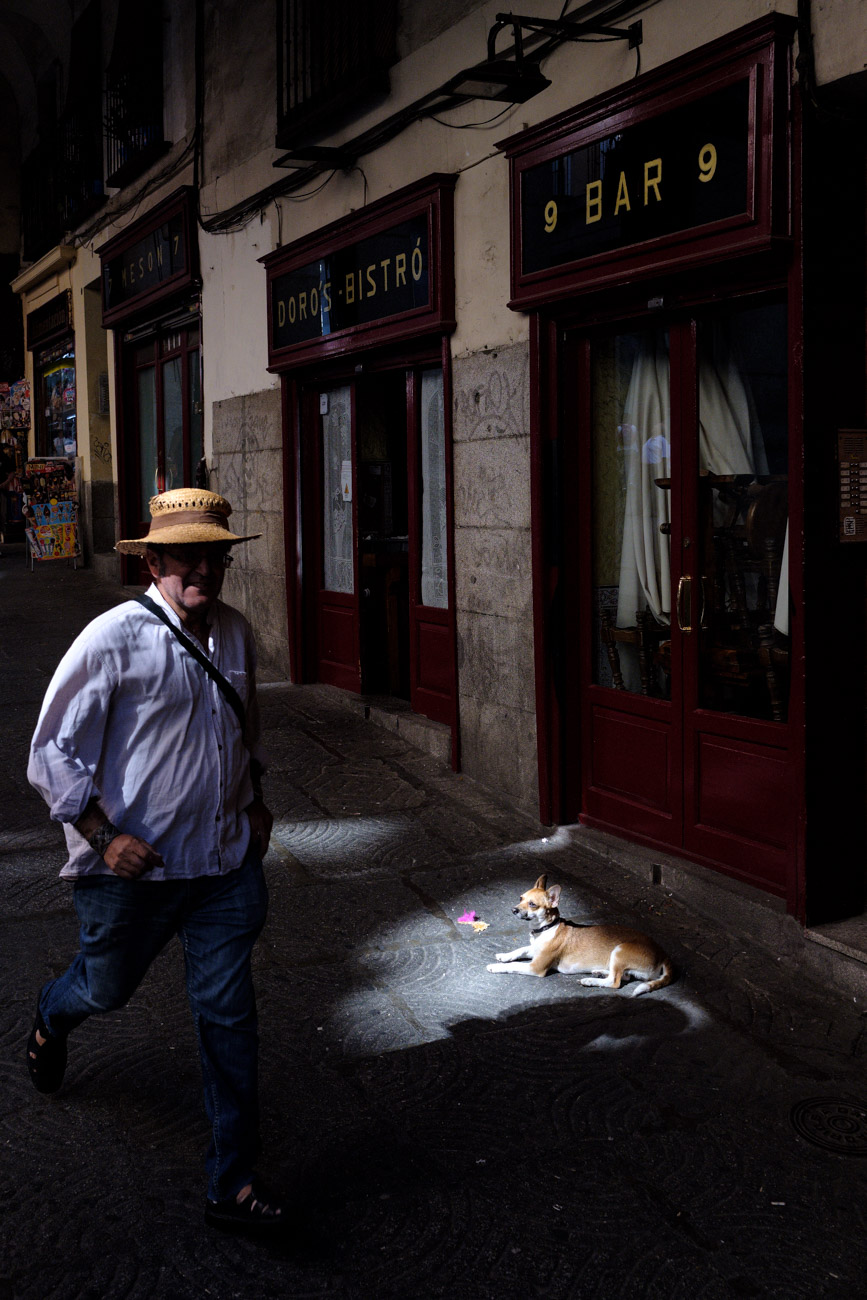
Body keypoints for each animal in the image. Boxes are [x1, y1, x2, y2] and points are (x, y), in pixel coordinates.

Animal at [486, 873, 675, 993]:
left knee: (615, 982)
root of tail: (662, 953)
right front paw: (504, 955)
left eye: (532, 904)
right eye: (521, 898)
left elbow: (514, 966)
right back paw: (599, 972)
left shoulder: (536, 966)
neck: (546, 928)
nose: (514, 909)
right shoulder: (534, 951)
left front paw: (496, 966)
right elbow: (520, 950)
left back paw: (590, 981)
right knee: (623, 976)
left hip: (620, 950)